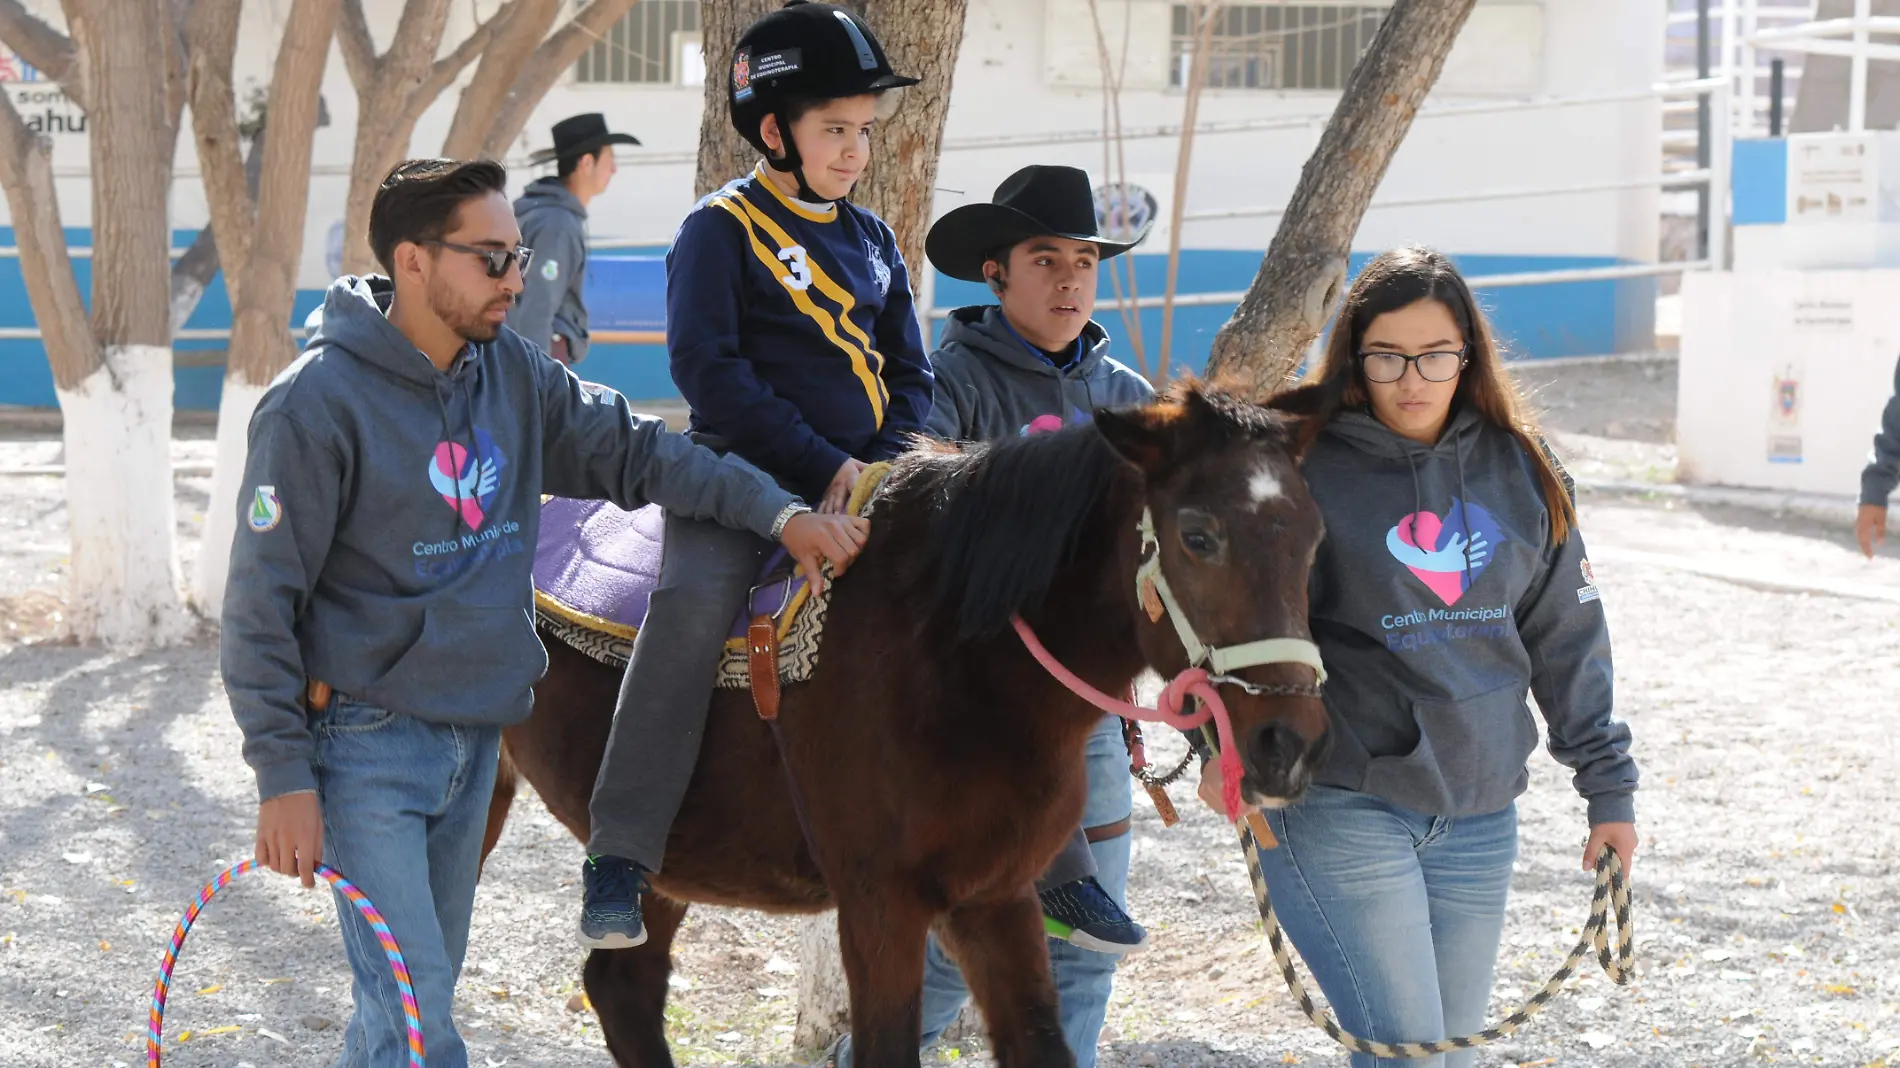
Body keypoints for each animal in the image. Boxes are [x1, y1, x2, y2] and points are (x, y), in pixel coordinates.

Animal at [482, 385, 1330, 1064]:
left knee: (623, 984)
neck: (952, 650)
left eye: (1314, 539)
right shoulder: (880, 902)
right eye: (1198, 535)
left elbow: (1039, 1042)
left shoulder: (993, 899)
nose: (1286, 744)